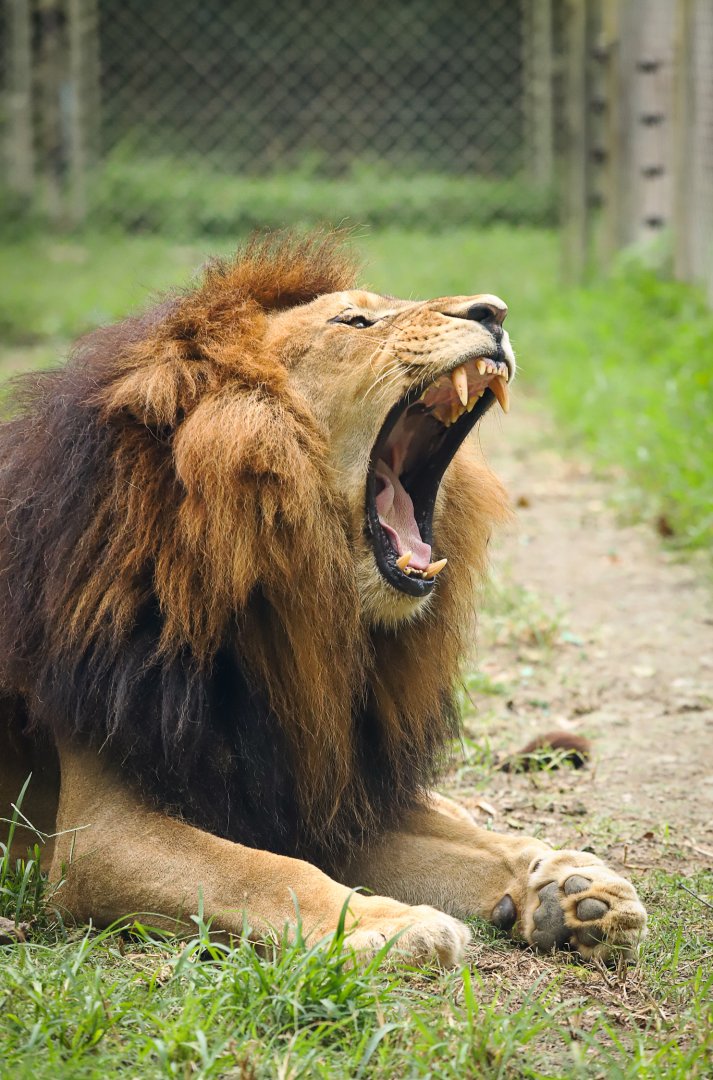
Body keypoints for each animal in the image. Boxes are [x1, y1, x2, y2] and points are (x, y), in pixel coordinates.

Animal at [0, 234, 646, 965]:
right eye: (354, 322)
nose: (494, 311)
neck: (286, 605)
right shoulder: (96, 835)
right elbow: (263, 871)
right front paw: (387, 926)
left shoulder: (325, 793)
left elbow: (456, 847)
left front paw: (556, 891)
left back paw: (568, 884)